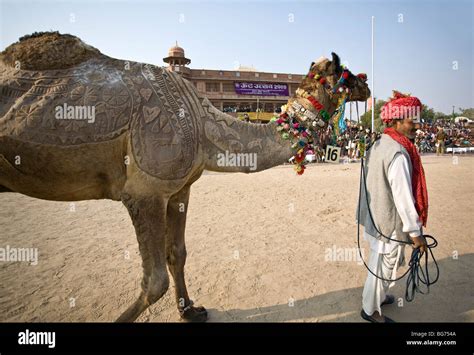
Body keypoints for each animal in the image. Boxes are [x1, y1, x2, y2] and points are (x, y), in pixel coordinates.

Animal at [0, 32, 370, 322]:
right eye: (347, 74)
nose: (367, 84)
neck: (202, 123)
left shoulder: (179, 190)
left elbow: (177, 253)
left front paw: (190, 309)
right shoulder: (144, 191)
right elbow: (154, 282)